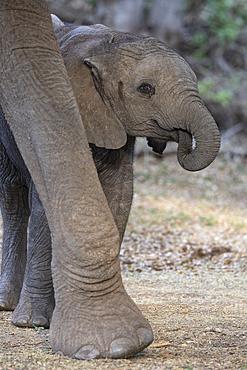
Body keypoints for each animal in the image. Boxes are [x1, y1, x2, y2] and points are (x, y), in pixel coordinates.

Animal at [0, 13, 220, 358]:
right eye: (146, 89)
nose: (179, 140)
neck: (107, 48)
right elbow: (43, 207)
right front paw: (33, 322)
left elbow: (120, 195)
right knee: (12, 197)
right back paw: (7, 304)